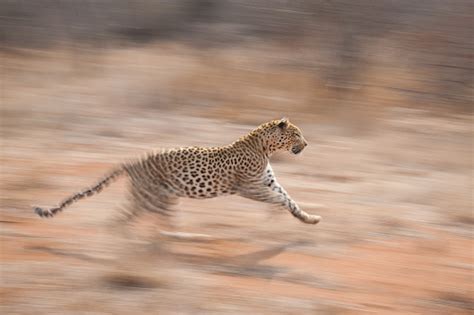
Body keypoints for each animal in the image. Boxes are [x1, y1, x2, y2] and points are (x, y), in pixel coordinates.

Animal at [34, 118, 322, 225]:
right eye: (297, 134)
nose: (307, 144)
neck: (264, 148)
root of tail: (132, 161)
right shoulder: (247, 187)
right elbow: (277, 199)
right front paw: (276, 212)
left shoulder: (268, 182)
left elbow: (288, 198)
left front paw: (308, 218)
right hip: (154, 196)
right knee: (130, 218)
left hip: (158, 197)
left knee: (127, 217)